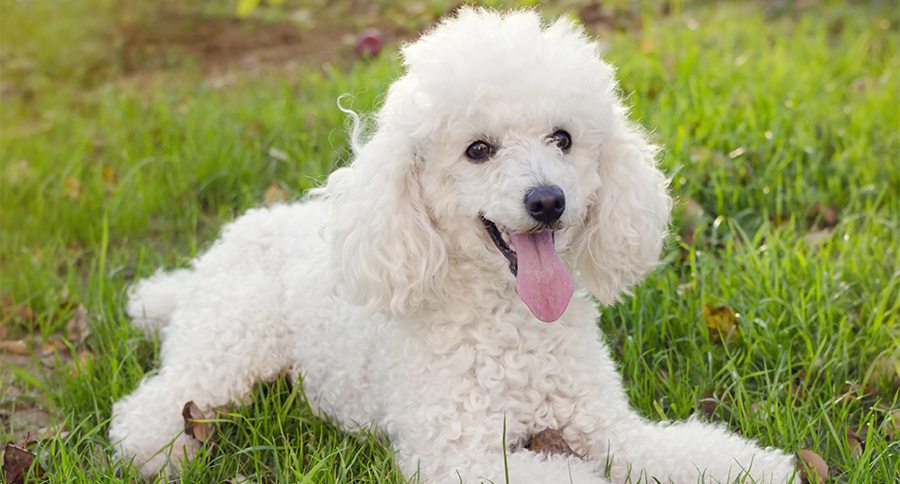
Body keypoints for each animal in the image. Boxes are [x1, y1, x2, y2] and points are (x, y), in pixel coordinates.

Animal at [110, 8, 796, 484]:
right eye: (478, 150)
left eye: (563, 138)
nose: (548, 201)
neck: (511, 321)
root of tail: (237, 233)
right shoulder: (462, 453)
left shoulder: (604, 421)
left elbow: (674, 448)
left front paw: (757, 466)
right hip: (233, 338)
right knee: (165, 396)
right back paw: (155, 448)